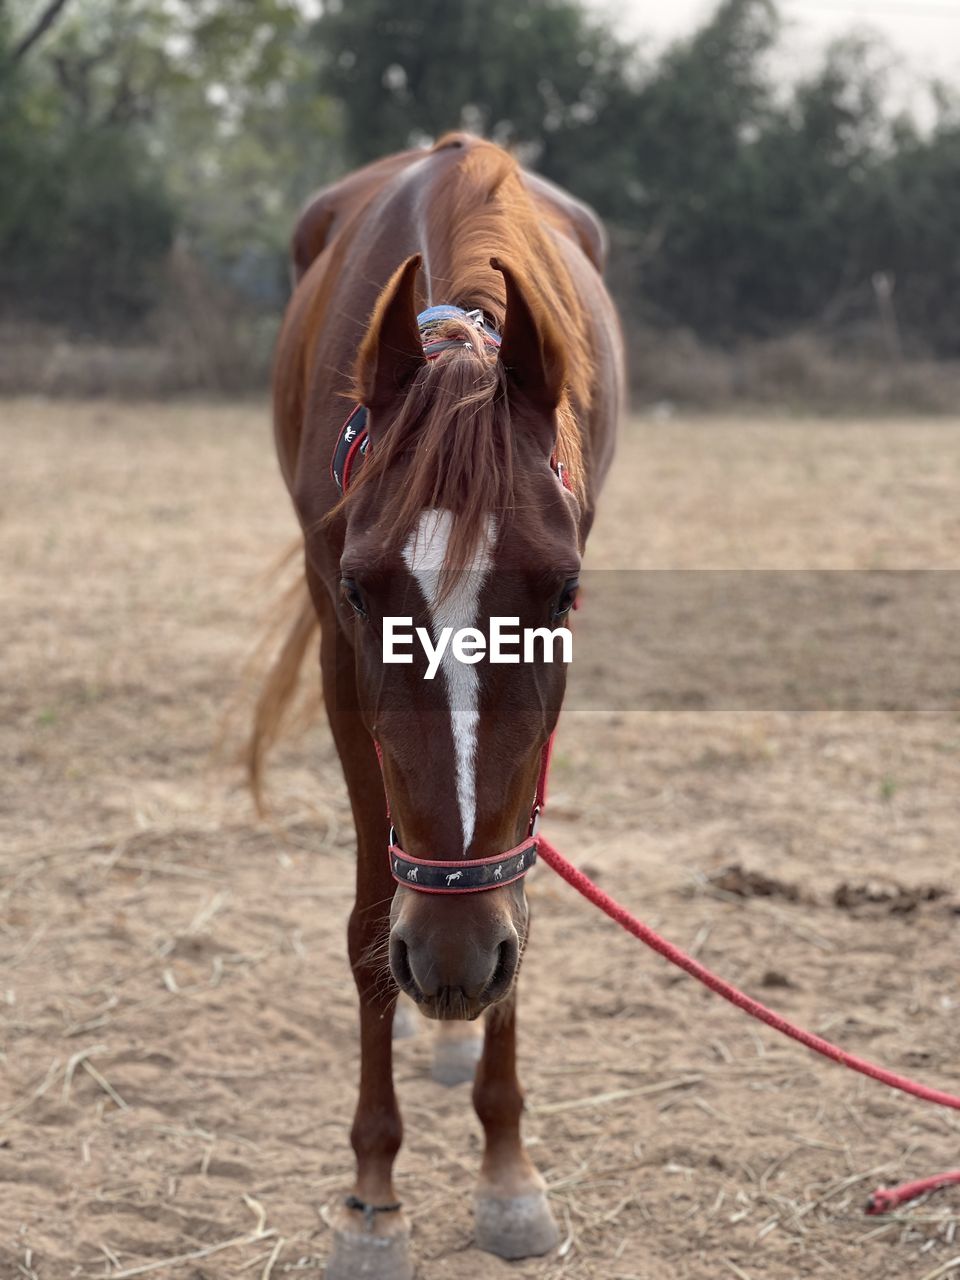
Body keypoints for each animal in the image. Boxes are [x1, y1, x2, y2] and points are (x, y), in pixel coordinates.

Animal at [257, 135, 624, 1274]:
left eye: (562, 593)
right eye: (359, 591)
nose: (455, 959)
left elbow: (523, 889)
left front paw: (507, 1172)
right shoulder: (341, 669)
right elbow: (368, 924)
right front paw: (372, 1199)